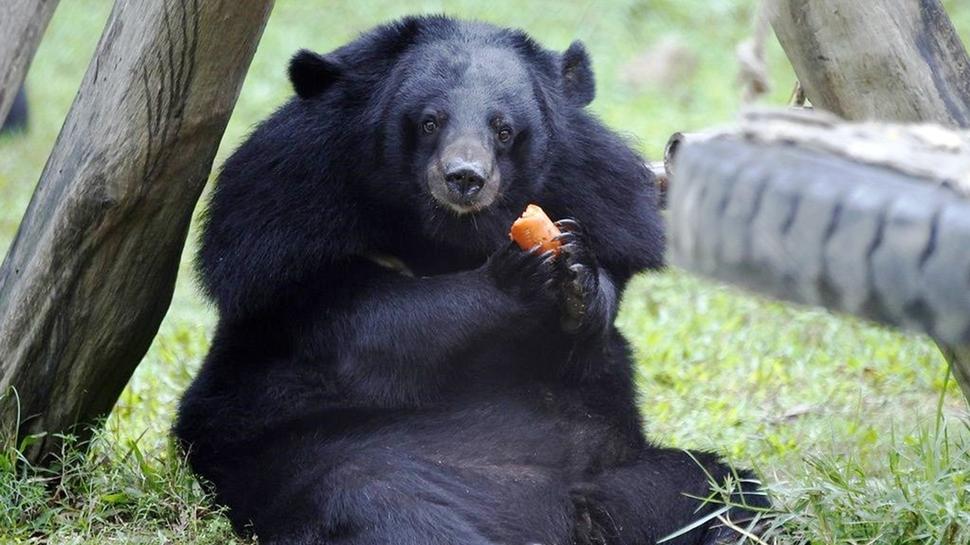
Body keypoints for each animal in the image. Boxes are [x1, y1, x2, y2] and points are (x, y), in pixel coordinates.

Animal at [172, 15, 764, 544]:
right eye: (429, 122)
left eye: (503, 129)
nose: (464, 178)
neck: (447, 236)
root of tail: (553, 523)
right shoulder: (283, 231)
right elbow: (369, 328)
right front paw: (515, 276)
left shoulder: (602, 195)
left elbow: (588, 338)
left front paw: (577, 274)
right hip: (332, 466)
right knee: (384, 507)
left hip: (632, 482)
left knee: (722, 493)